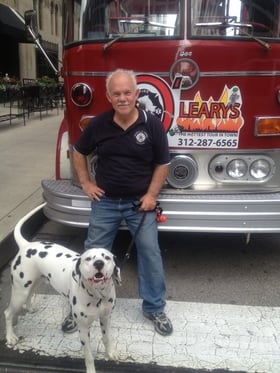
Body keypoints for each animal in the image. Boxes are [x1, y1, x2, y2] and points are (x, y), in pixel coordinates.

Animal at [4, 203, 120, 372]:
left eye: (107, 257)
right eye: (88, 259)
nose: (99, 263)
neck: (98, 295)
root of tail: (27, 245)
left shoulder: (105, 318)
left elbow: (107, 338)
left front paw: (111, 353)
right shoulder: (83, 329)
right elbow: (89, 356)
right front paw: (91, 370)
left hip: (32, 284)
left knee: (30, 295)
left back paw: (30, 308)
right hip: (19, 292)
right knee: (7, 313)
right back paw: (10, 337)